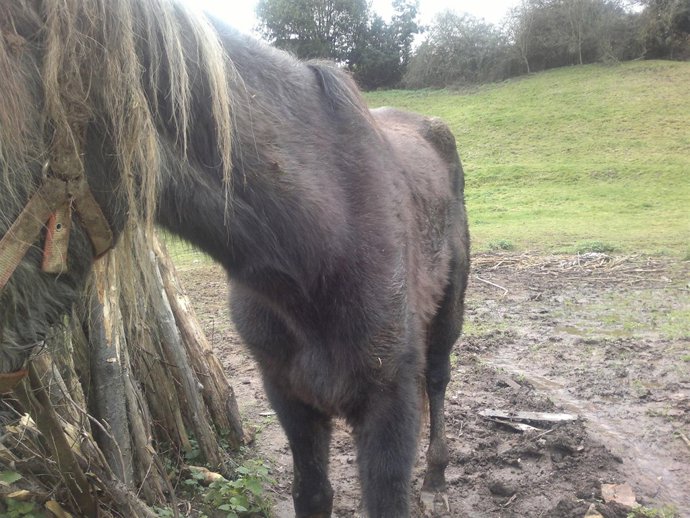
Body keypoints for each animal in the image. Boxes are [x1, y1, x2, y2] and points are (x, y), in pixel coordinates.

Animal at [0, 1, 469, 516]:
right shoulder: (288, 396)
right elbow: (312, 492)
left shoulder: (391, 407)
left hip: (449, 313)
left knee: (439, 379)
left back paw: (437, 477)